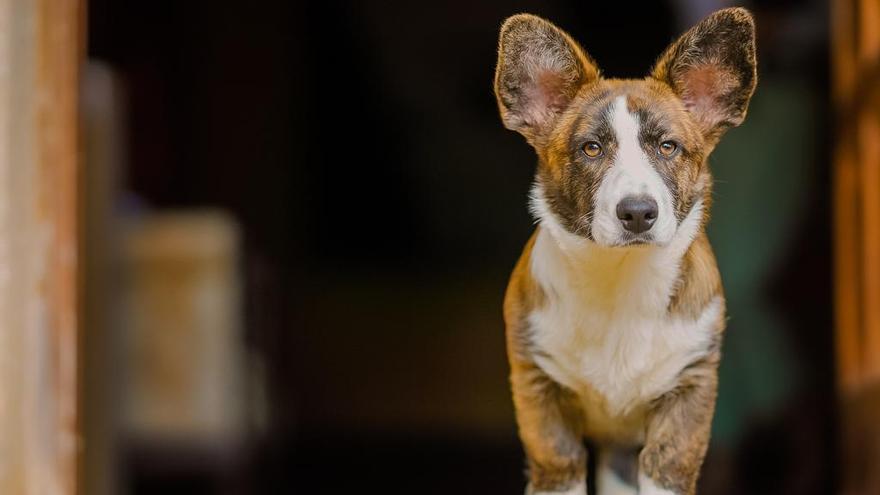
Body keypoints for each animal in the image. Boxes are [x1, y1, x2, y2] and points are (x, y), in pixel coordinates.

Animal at [496, 7, 756, 495]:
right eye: (591, 149)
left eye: (668, 147)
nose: (637, 213)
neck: (620, 275)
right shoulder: (538, 386)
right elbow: (560, 465)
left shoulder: (690, 387)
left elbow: (665, 466)